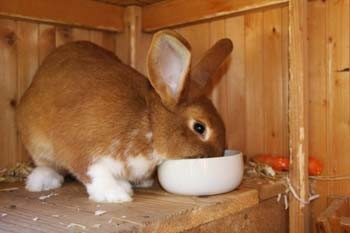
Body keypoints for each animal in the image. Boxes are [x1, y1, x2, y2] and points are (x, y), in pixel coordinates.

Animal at [17, 30, 235, 202]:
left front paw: (126, 186)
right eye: (199, 127)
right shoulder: (84, 152)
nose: (215, 155)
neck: (150, 123)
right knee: (46, 165)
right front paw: (115, 195)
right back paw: (41, 182)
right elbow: (94, 174)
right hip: (38, 144)